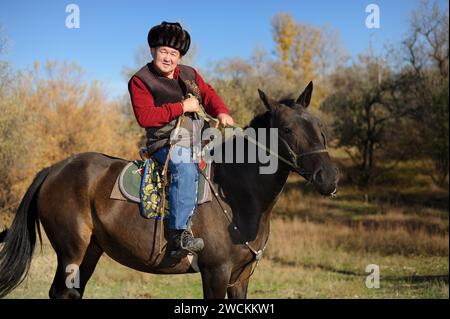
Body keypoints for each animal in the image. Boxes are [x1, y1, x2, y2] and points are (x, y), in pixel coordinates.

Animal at [0, 82, 338, 300]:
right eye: (287, 130)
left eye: (318, 126)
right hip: (71, 250)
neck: (236, 196)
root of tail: (54, 169)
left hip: (91, 251)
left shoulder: (241, 278)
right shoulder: (216, 274)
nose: (329, 177)